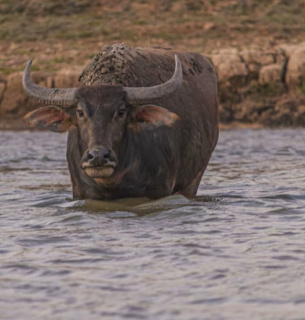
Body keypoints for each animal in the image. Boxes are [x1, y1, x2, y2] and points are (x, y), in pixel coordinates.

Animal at [23, 45, 218, 200]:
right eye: (80, 112)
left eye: (121, 112)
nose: (98, 156)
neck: (111, 182)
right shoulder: (80, 191)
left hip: (194, 178)